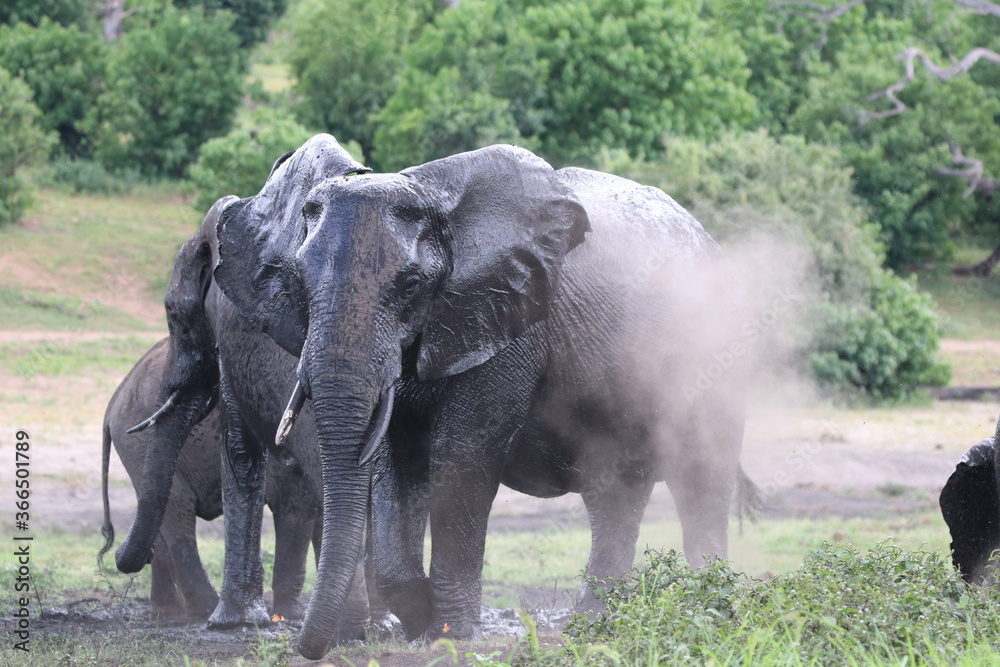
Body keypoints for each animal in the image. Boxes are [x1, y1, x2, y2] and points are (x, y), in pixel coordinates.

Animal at [99, 200, 326, 623]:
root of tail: (111, 407)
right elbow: (298, 508)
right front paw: (290, 616)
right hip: (133, 443)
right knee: (176, 517)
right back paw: (200, 612)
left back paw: (169, 614)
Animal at [211, 136, 758, 659]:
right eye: (299, 282)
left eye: (411, 284)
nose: (308, 649)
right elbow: (394, 460)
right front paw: (420, 619)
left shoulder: (505, 319)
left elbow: (461, 458)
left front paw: (450, 630)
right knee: (616, 490)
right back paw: (598, 621)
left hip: (717, 355)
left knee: (699, 480)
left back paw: (704, 604)